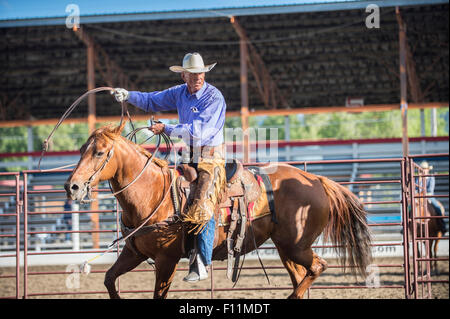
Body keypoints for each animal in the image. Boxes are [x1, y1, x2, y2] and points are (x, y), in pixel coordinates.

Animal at [64, 123, 372, 300]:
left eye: (100, 152)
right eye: (81, 149)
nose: (72, 186)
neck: (153, 194)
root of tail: (316, 179)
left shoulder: (166, 260)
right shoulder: (133, 253)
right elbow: (109, 279)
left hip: (297, 246)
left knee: (318, 267)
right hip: (286, 248)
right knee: (301, 276)